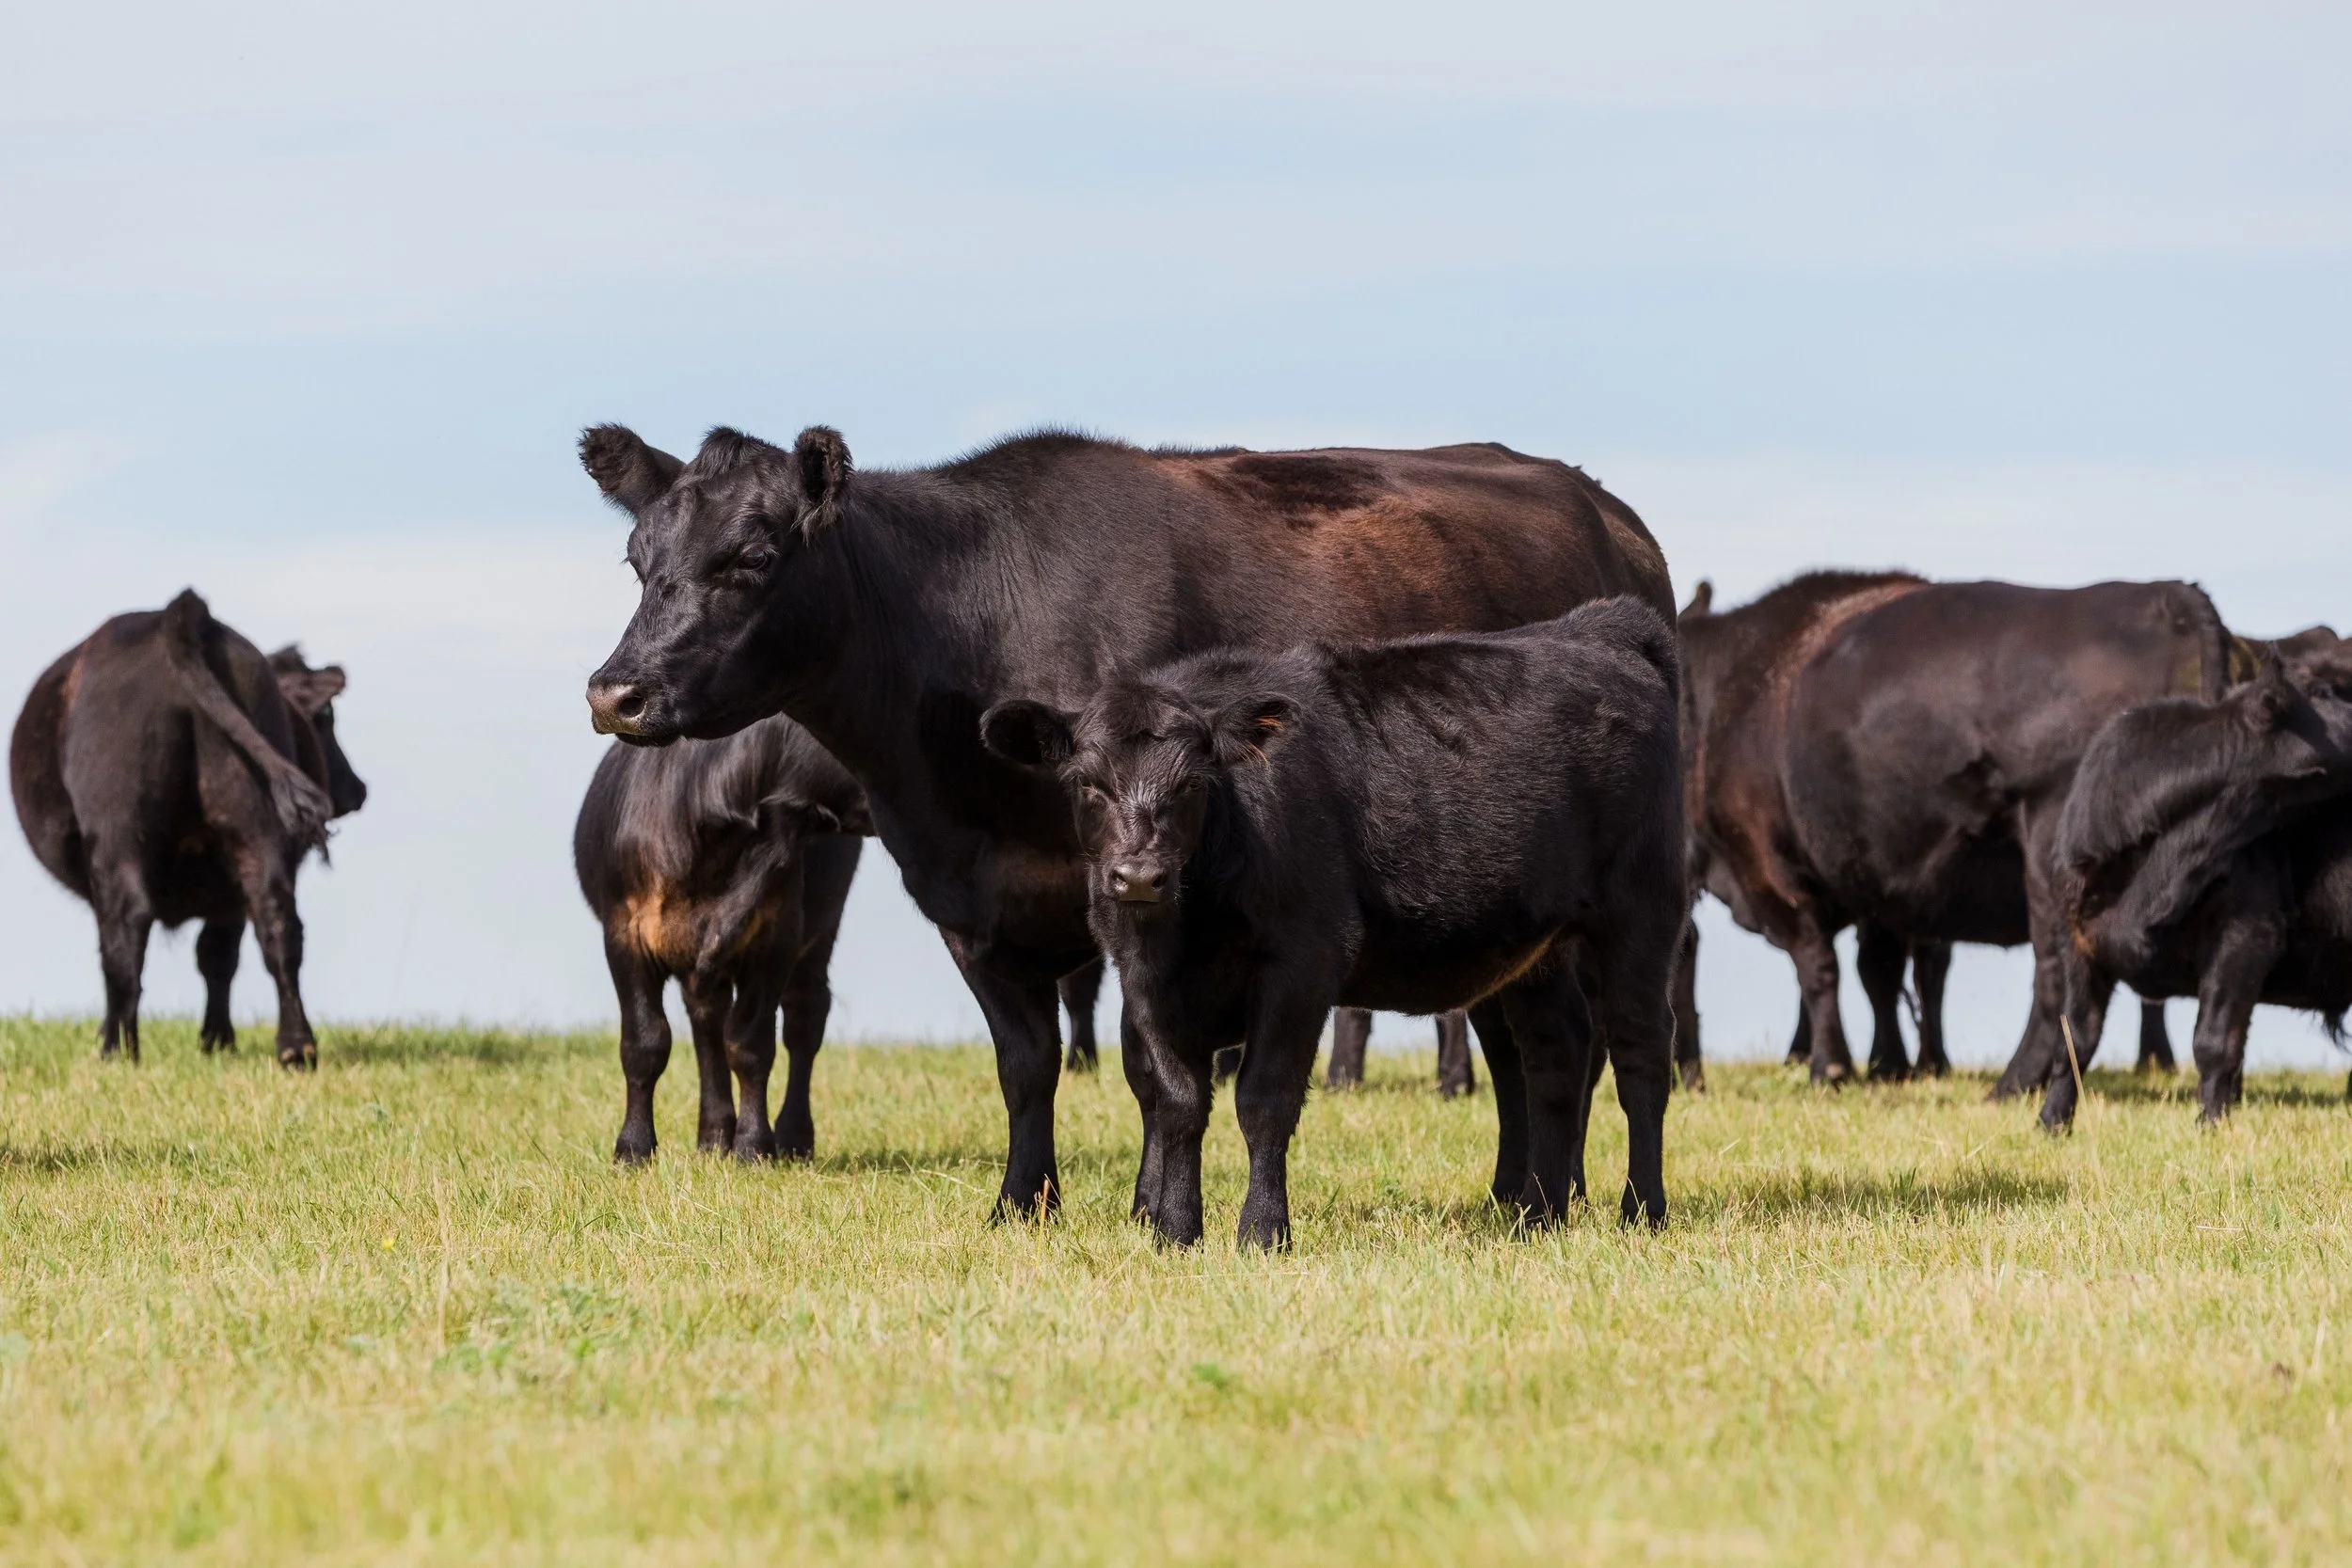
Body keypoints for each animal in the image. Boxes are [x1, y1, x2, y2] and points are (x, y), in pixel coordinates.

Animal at [10, 590, 365, 1066]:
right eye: (326, 716)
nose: (358, 790)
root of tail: (178, 613)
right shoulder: (227, 894)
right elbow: (218, 956)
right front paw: (218, 1042)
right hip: (253, 820)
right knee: (276, 921)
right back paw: (295, 1047)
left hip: (118, 827)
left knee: (124, 931)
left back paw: (118, 1051)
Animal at [574, 715, 873, 1163]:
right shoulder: (624, 934)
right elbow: (645, 1043)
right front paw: (633, 1149)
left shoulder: (777, 937)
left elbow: (750, 1044)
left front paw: (753, 1146)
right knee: (707, 1023)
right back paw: (713, 1137)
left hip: (822, 929)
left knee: (804, 1018)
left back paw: (793, 1137)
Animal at [980, 598, 1686, 1248]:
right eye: (1087, 782)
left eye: (1193, 783)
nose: (1138, 876)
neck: (1191, 924)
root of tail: (1601, 628)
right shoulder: (1145, 978)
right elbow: (1176, 1101)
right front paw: (1175, 1232)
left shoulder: (1304, 959)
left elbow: (1264, 1099)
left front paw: (1263, 1231)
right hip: (1537, 942)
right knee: (1556, 1053)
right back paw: (1539, 1216)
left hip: (1643, 910)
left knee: (1641, 1053)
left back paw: (1642, 1211)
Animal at [1677, 572, 2233, 1090]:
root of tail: (2167, 595)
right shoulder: (1881, 880)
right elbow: (1877, 971)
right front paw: (1888, 1066)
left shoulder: (1768, 868)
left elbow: (1818, 966)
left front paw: (1831, 1069)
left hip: (2053, 850)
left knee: (2055, 971)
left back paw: (2012, 1084)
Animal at [2043, 661, 2352, 1126]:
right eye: (2321, 692)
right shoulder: (2077, 939)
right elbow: (2074, 1041)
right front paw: (2050, 1125)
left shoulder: (2247, 935)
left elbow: (2214, 1043)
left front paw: (2211, 1126)